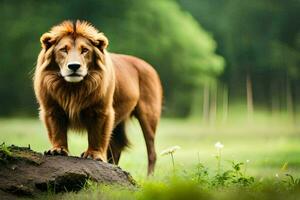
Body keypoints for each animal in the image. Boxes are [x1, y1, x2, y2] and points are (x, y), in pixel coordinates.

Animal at [33, 19, 162, 174]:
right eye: (63, 49)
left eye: (85, 50)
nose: (74, 66)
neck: (73, 89)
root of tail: (149, 66)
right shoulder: (52, 109)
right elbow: (57, 131)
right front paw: (57, 150)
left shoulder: (102, 110)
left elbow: (97, 135)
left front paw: (93, 155)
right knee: (116, 149)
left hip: (148, 115)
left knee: (152, 152)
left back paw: (149, 178)